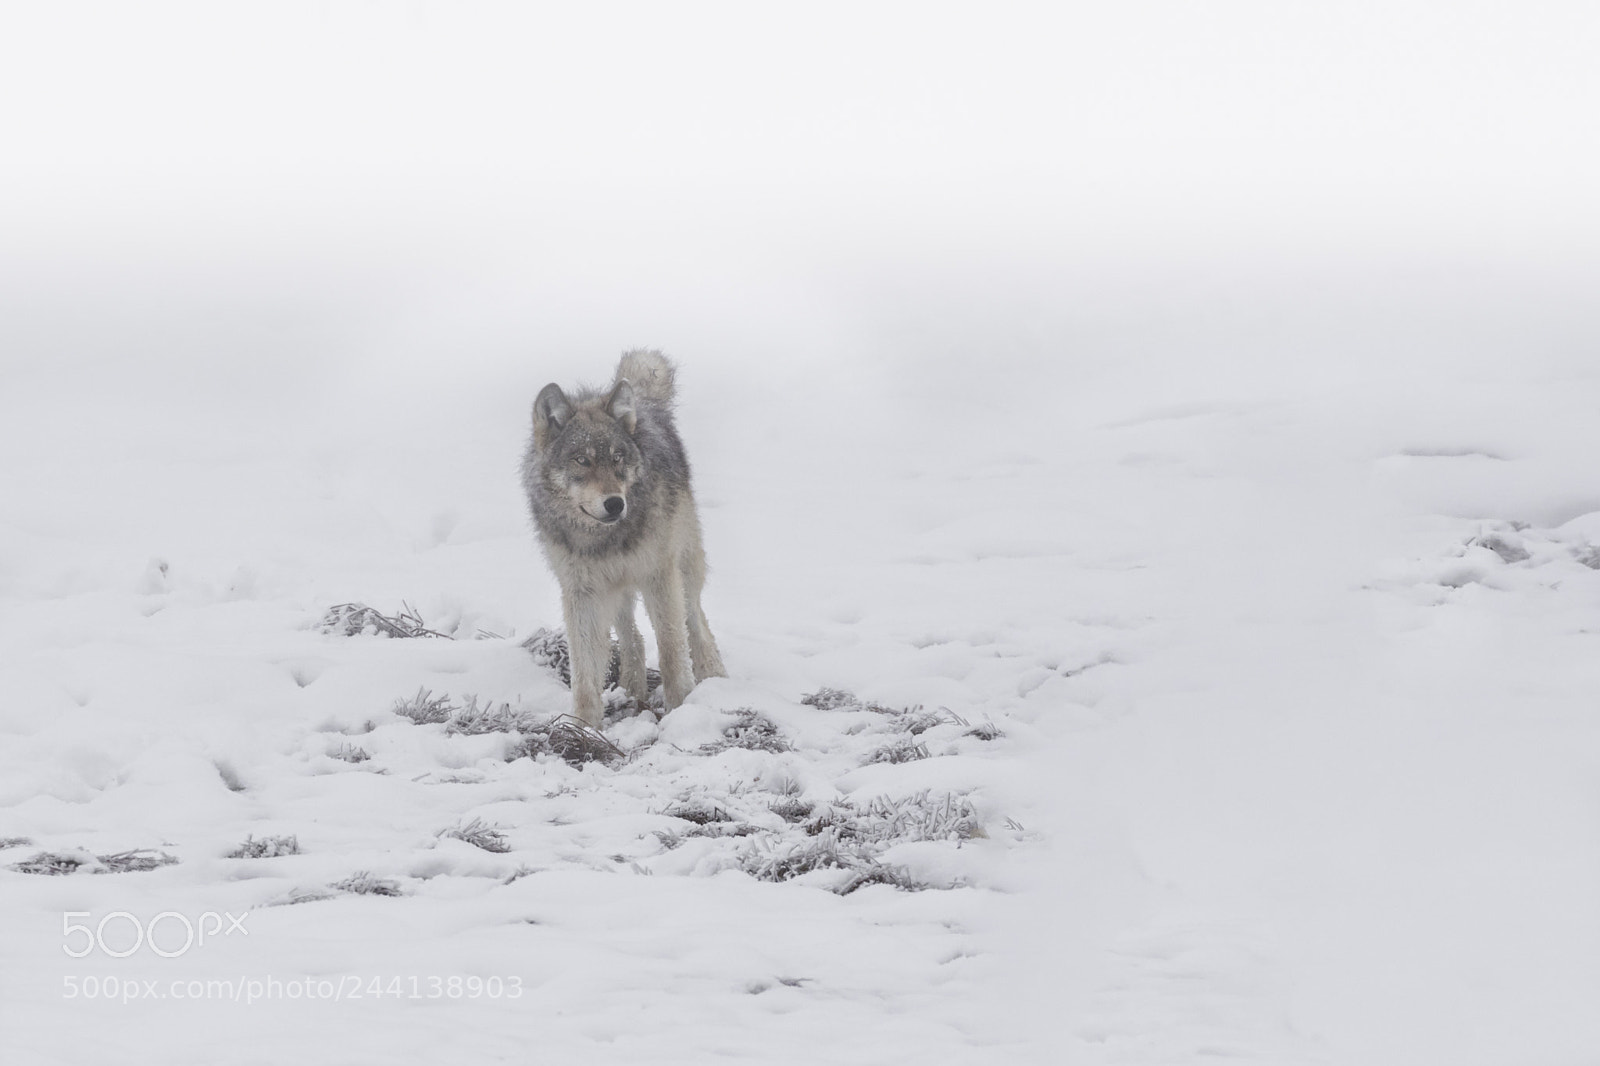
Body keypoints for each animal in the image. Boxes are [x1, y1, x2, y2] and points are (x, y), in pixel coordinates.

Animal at [522, 349, 726, 728]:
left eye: (617, 458)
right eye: (582, 460)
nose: (615, 503)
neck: (604, 539)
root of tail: (642, 404)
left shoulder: (659, 577)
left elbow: (672, 649)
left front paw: (680, 708)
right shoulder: (583, 593)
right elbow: (585, 674)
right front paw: (583, 728)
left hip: (683, 569)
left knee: (696, 622)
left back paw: (714, 675)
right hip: (617, 590)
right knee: (634, 638)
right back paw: (632, 688)